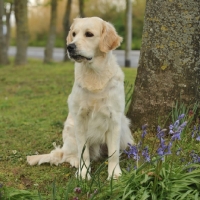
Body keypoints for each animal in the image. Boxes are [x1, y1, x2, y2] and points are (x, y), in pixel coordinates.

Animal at [26, 17, 133, 180]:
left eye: (89, 34)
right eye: (74, 34)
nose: (70, 47)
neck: (94, 75)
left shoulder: (114, 119)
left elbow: (113, 153)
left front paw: (114, 174)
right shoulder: (80, 119)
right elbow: (84, 153)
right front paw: (83, 172)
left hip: (124, 128)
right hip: (70, 131)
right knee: (66, 155)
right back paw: (75, 161)